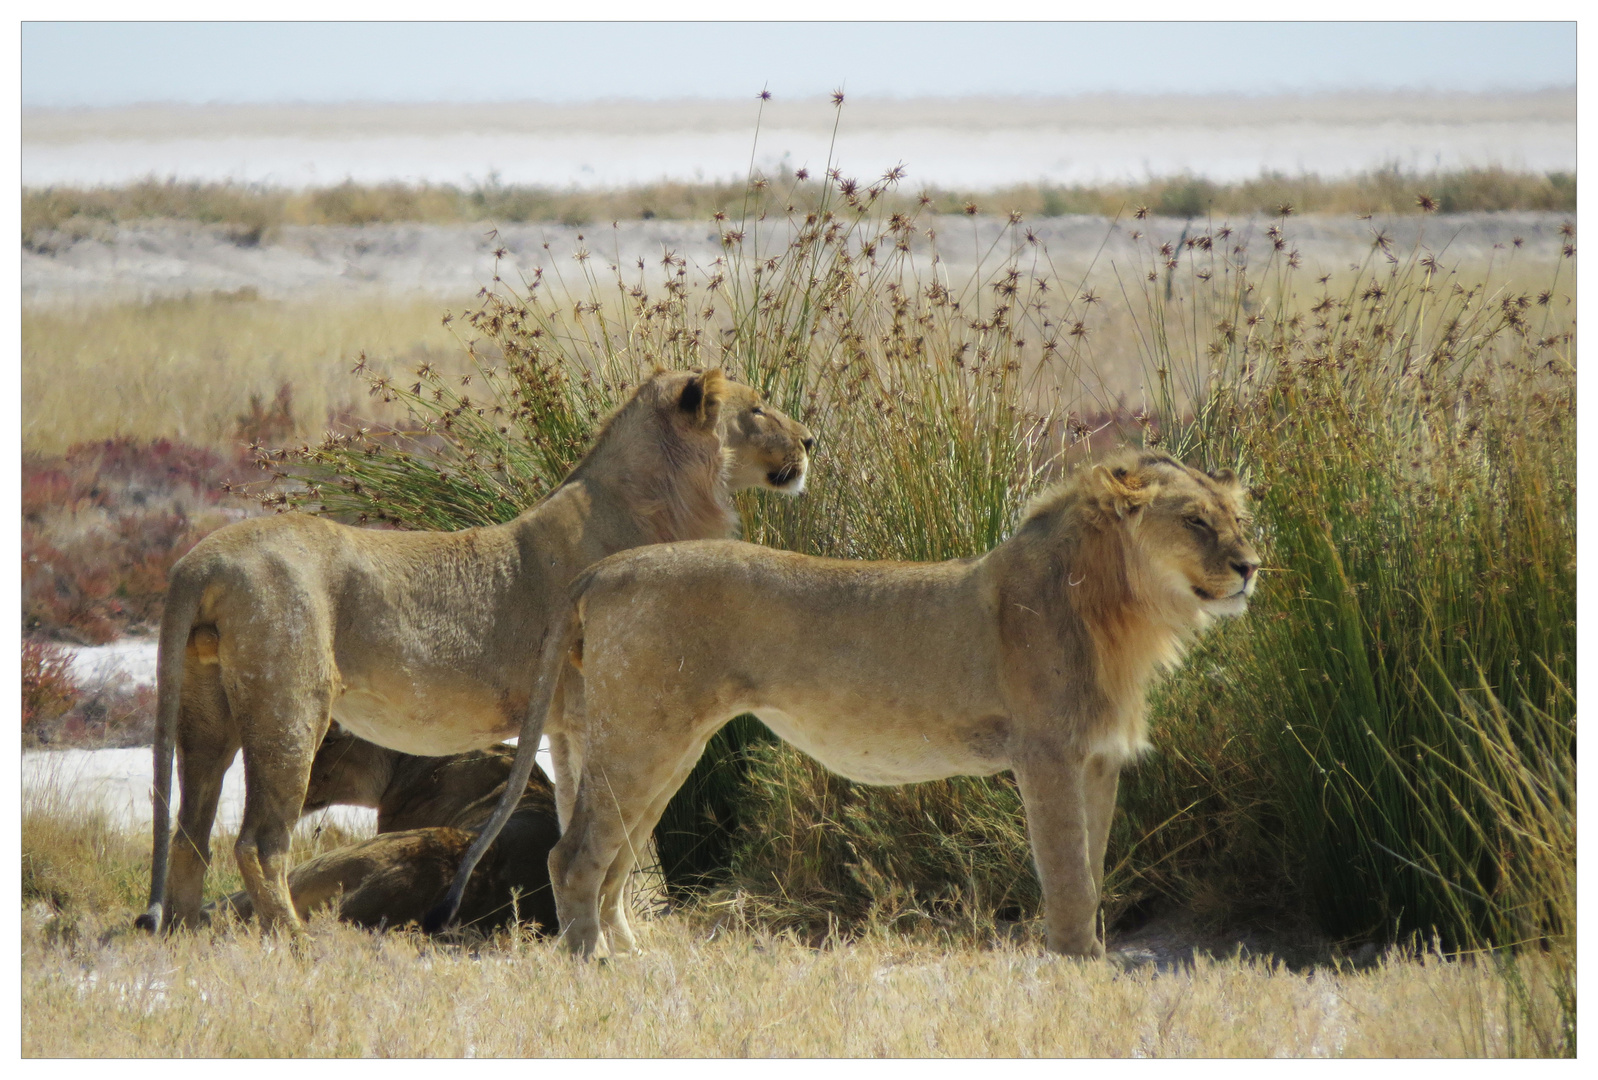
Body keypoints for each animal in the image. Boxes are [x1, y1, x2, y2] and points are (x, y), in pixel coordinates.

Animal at [431, 450, 1252, 958]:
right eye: (1196, 522)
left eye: (1239, 521)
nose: (1251, 566)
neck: (1126, 613)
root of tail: (604, 569)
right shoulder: (1046, 753)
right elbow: (1069, 873)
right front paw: (1079, 965)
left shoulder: (1098, 760)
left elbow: (1094, 863)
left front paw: (1090, 957)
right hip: (643, 735)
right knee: (573, 854)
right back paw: (591, 966)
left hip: (666, 744)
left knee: (614, 856)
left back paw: (631, 955)